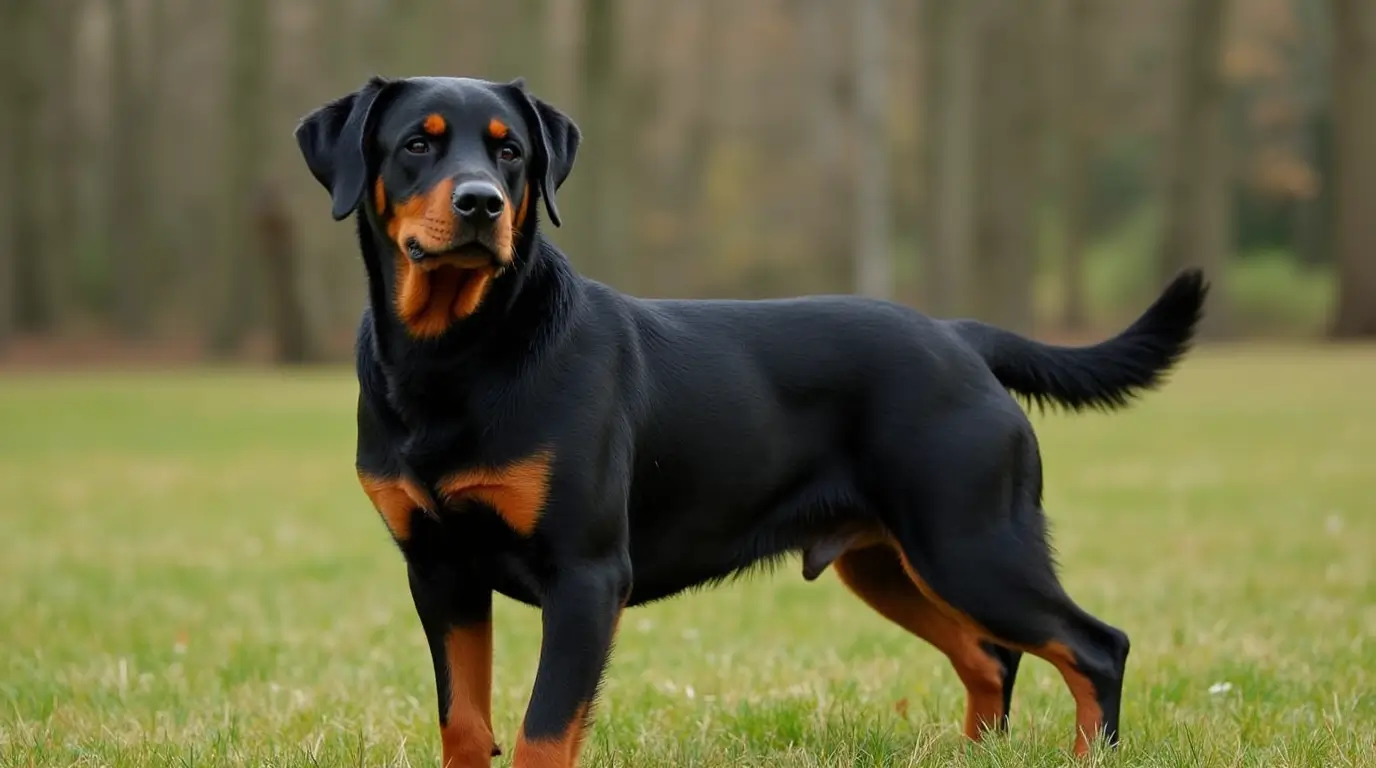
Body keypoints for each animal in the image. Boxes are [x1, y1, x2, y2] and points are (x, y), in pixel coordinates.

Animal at [293, 73, 1205, 768]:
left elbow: (543, 732)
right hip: (891, 562)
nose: (483, 204)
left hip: (971, 542)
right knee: (991, 657)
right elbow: (465, 722)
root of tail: (959, 336)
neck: (457, 357)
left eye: (509, 149)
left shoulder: (586, 576)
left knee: (1094, 646)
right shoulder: (439, 570)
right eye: (417, 145)